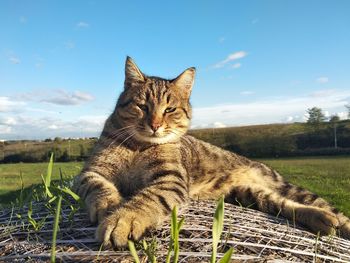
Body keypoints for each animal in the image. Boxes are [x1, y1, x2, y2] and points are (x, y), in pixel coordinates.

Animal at [72, 56, 348, 249]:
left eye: (170, 109)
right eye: (142, 106)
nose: (155, 125)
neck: (138, 146)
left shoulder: (171, 179)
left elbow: (148, 198)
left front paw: (124, 219)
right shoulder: (90, 171)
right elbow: (97, 186)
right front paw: (109, 204)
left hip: (285, 185)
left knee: (322, 206)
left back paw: (338, 222)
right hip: (249, 194)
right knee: (284, 205)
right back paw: (321, 220)